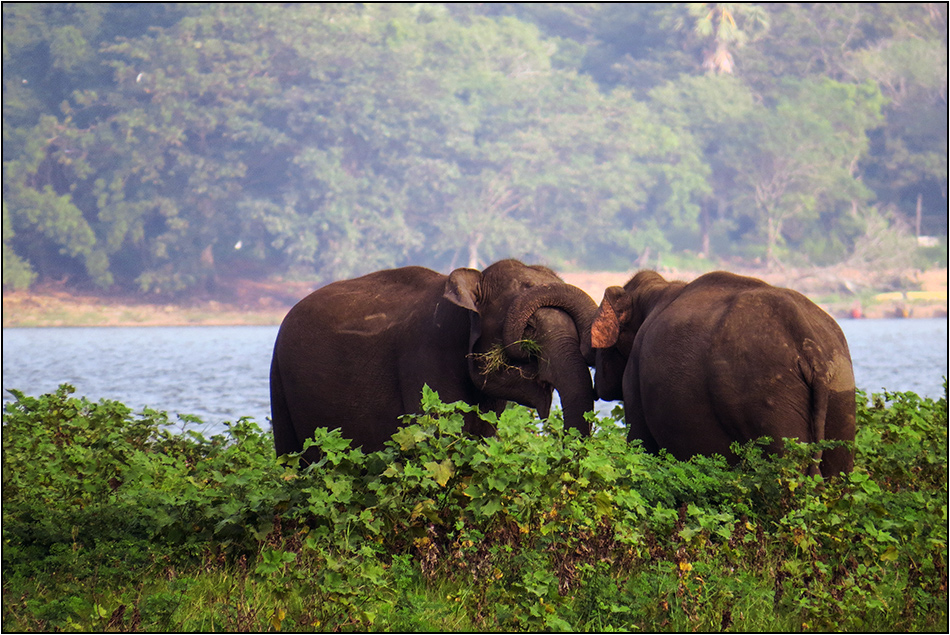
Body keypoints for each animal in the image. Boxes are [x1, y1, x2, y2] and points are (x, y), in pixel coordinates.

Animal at [592, 270, 860, 476]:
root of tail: (810, 346)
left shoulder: (634, 375)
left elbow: (642, 444)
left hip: (769, 395)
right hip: (841, 388)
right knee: (838, 470)